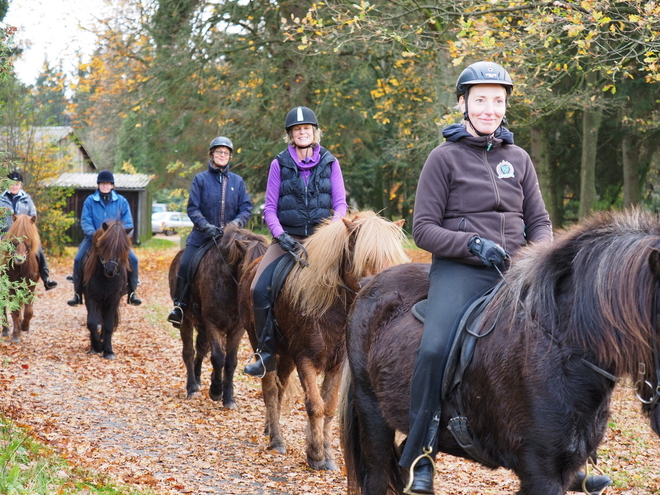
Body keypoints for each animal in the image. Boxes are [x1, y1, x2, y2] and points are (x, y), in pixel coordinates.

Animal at [0, 213, 40, 344]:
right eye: (14, 238)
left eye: (28, 238)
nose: (19, 259)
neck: (21, 267)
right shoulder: (11, 287)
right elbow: (15, 311)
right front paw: (16, 335)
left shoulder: (30, 287)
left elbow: (29, 311)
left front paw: (24, 326)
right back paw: (6, 330)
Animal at [82, 221, 132, 360]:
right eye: (104, 245)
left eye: (122, 248)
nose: (110, 270)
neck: (105, 278)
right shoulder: (90, 298)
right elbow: (92, 323)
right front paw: (97, 347)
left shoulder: (113, 300)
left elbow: (109, 324)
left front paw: (108, 350)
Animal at [169, 227, 270, 408]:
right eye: (251, 269)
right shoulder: (212, 324)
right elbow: (217, 358)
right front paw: (216, 391)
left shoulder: (237, 329)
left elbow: (230, 362)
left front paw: (228, 397)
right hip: (186, 320)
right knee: (188, 351)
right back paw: (192, 387)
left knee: (201, 349)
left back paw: (198, 379)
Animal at [237, 210, 412, 472]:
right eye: (366, 259)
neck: (332, 309)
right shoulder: (305, 359)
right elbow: (314, 405)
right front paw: (316, 455)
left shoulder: (337, 364)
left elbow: (328, 406)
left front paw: (325, 453)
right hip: (263, 346)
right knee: (270, 390)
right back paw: (276, 440)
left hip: (286, 355)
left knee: (279, 389)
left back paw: (270, 428)